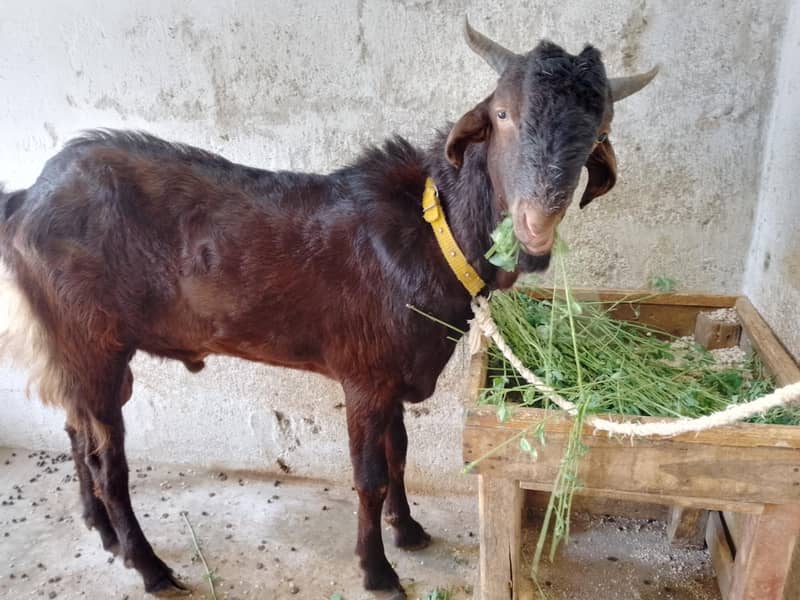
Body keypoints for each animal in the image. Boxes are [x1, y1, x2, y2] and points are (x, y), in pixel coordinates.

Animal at [0, 19, 656, 598]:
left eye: (598, 129)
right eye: (502, 115)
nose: (535, 227)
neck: (431, 232)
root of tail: (27, 199)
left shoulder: (393, 375)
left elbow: (399, 453)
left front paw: (409, 532)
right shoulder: (364, 374)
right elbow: (368, 476)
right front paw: (378, 571)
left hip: (78, 350)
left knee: (75, 428)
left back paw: (104, 534)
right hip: (92, 343)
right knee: (107, 461)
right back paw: (150, 567)